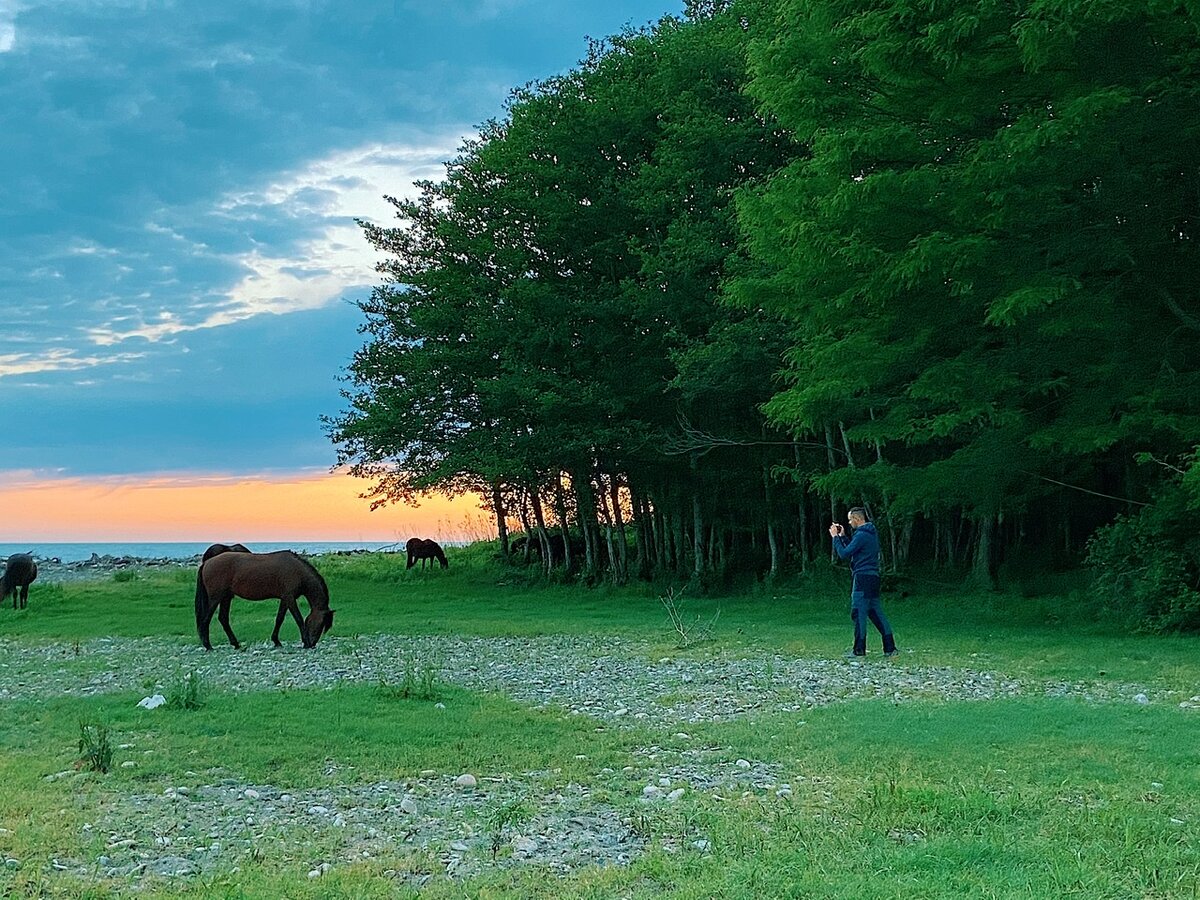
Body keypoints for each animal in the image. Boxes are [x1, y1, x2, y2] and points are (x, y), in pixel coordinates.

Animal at [196, 549, 336, 648]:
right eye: (320, 624)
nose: (313, 643)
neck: (297, 570)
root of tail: (207, 562)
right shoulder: (290, 598)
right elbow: (298, 619)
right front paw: (305, 642)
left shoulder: (285, 599)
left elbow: (279, 619)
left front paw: (276, 641)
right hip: (216, 598)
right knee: (206, 619)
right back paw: (208, 646)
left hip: (226, 597)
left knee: (223, 619)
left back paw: (236, 644)